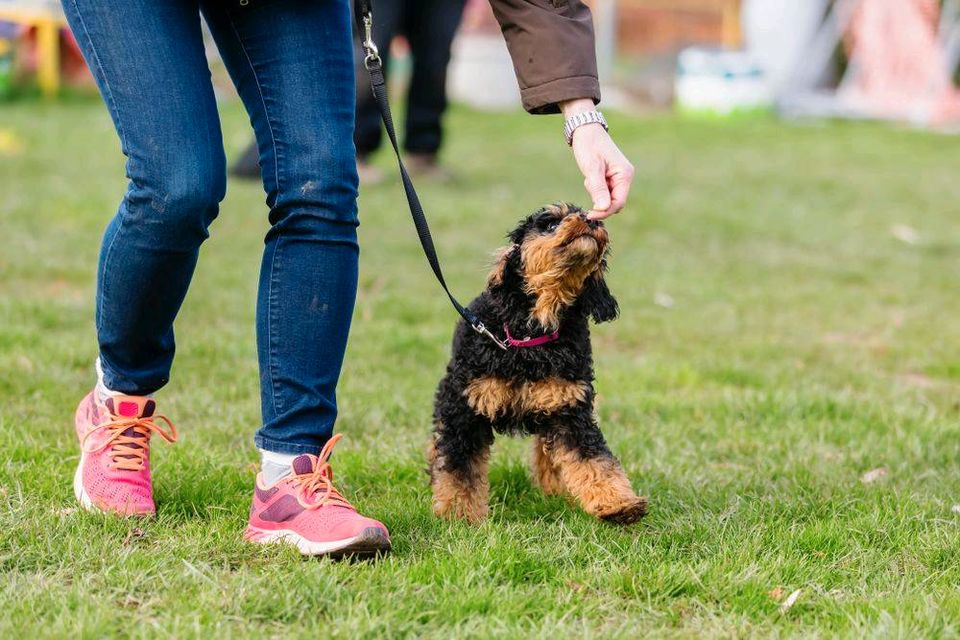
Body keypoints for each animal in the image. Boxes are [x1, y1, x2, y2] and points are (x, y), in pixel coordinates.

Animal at [432, 201, 648, 524]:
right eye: (550, 224)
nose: (591, 221)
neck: (531, 337)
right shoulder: (465, 408)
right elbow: (460, 466)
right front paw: (458, 516)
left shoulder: (569, 409)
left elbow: (594, 459)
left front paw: (619, 504)